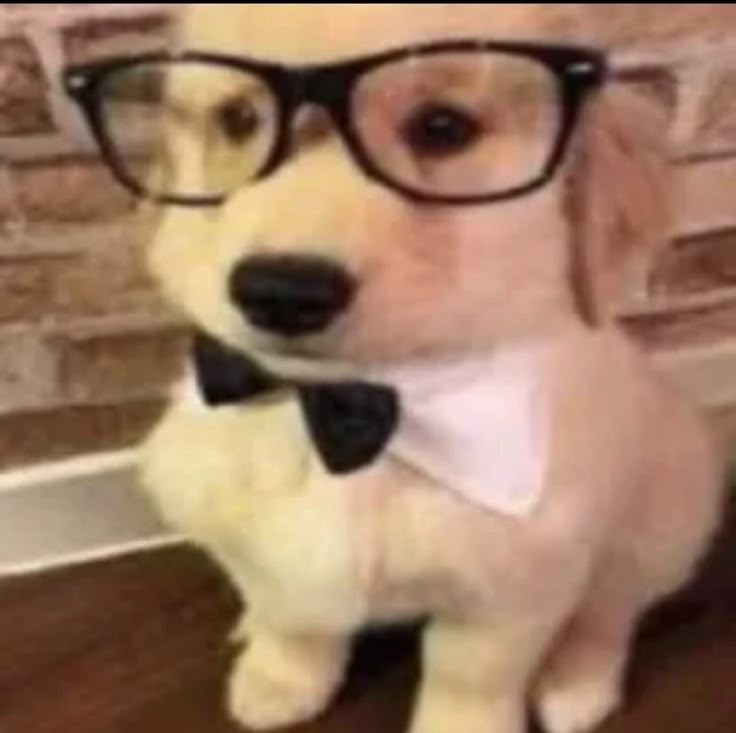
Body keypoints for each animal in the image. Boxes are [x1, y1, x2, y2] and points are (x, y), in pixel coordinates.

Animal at [122, 5, 724, 732]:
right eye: (239, 118)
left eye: (442, 128)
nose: (282, 291)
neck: (354, 409)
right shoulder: (253, 544)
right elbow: (291, 619)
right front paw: (278, 678)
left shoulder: (513, 589)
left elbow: (469, 678)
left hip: (662, 515)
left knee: (611, 609)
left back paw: (576, 684)